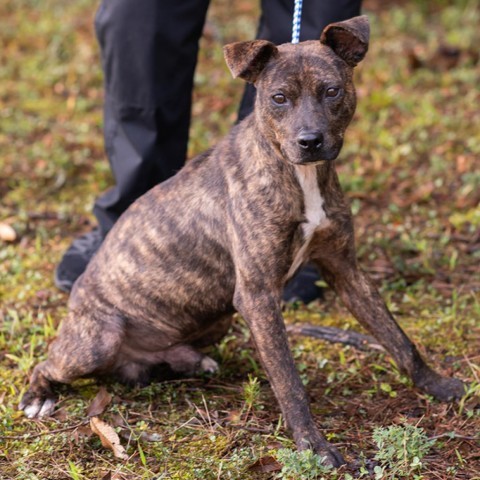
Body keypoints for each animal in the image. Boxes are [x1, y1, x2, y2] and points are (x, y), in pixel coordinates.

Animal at [19, 16, 464, 466]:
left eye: (332, 91)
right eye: (279, 98)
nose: (310, 141)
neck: (297, 174)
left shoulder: (346, 270)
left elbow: (398, 339)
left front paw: (439, 387)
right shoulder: (257, 294)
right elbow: (289, 381)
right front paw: (314, 447)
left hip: (215, 319)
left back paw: (189, 362)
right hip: (98, 340)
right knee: (47, 363)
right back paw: (38, 396)